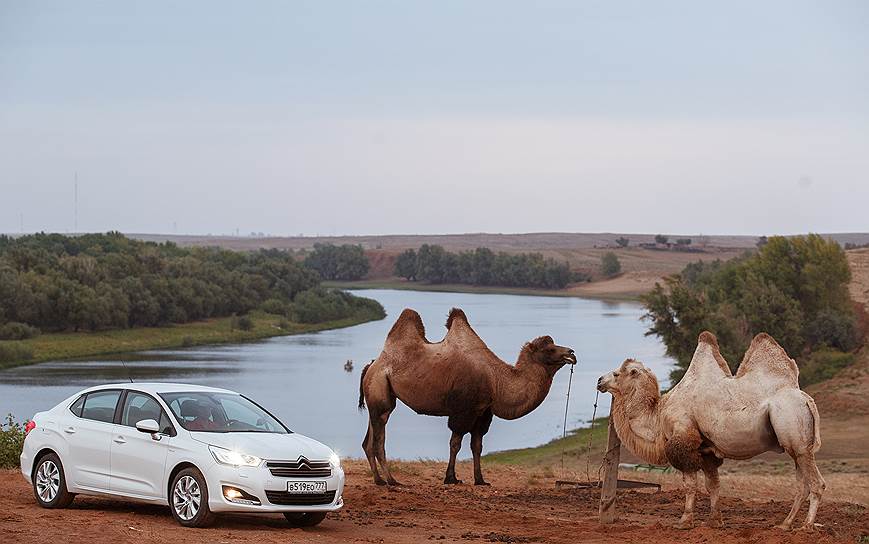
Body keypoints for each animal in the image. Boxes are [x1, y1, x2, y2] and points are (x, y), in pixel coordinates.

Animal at [356, 308, 572, 486]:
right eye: (550, 349)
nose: (571, 353)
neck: (495, 380)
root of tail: (372, 365)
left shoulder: (483, 412)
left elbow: (477, 445)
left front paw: (480, 480)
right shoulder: (463, 411)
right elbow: (455, 444)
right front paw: (451, 478)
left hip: (377, 397)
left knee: (369, 440)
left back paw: (378, 480)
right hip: (380, 388)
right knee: (379, 439)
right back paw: (392, 481)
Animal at [592, 332, 824, 532]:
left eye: (617, 373)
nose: (599, 381)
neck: (659, 414)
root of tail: (807, 400)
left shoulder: (683, 438)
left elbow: (690, 485)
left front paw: (684, 521)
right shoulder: (706, 450)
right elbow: (712, 484)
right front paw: (714, 521)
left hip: (796, 434)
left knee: (817, 483)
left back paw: (806, 527)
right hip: (796, 446)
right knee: (801, 485)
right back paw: (785, 524)